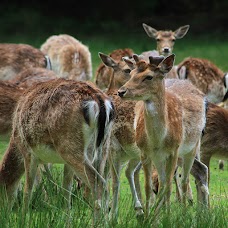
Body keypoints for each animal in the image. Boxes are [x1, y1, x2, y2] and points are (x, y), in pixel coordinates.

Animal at [117, 54, 208, 216]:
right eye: (131, 73)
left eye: (149, 77)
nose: (121, 91)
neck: (158, 140)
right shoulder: (145, 152)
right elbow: (149, 186)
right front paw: (150, 216)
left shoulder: (173, 151)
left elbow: (169, 186)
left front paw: (169, 217)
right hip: (162, 157)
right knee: (173, 178)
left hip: (192, 147)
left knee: (185, 180)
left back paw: (186, 212)